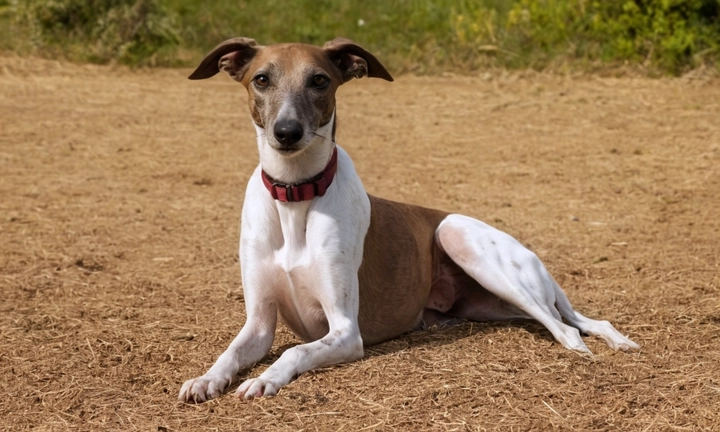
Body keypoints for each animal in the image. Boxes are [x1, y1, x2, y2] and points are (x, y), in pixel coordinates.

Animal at [177, 36, 640, 402]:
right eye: (261, 79)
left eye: (319, 80)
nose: (287, 132)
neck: (296, 193)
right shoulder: (258, 324)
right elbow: (230, 352)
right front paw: (205, 380)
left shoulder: (345, 331)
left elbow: (296, 350)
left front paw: (265, 379)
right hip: (493, 305)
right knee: (576, 320)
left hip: (460, 237)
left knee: (570, 329)